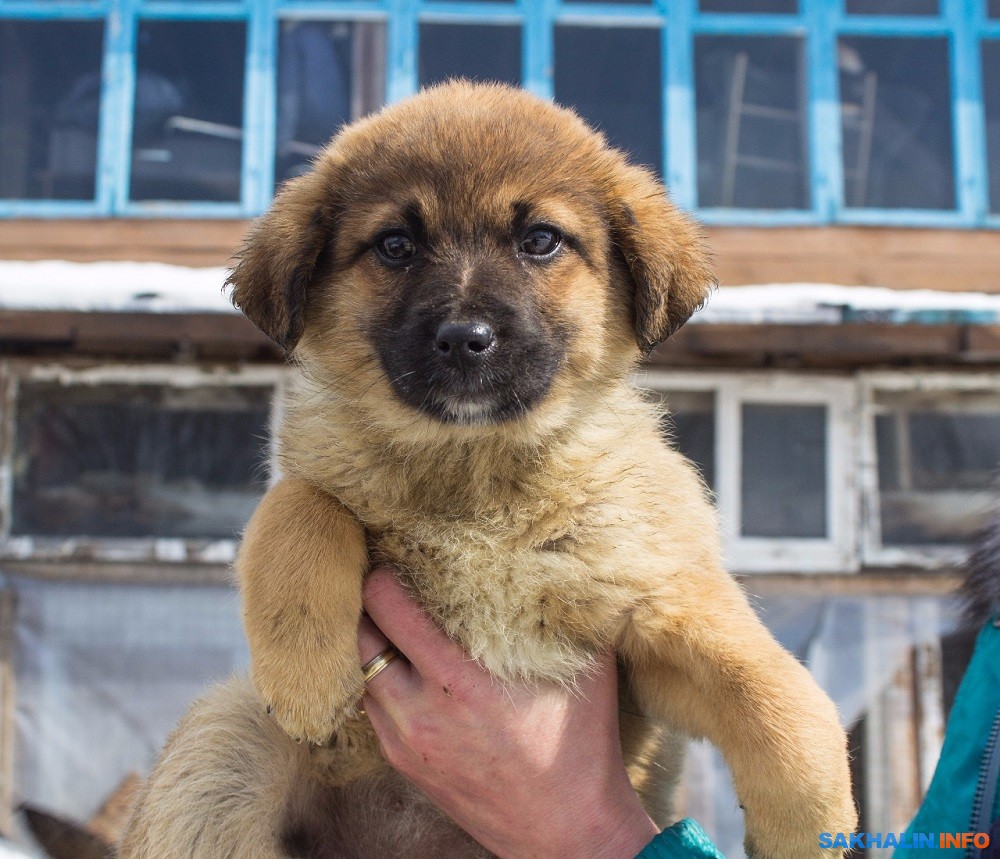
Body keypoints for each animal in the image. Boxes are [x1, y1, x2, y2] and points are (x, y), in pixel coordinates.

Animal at [121, 82, 856, 859]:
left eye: (540, 239)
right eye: (395, 245)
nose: (464, 339)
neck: (477, 473)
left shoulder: (653, 602)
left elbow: (774, 690)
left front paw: (811, 824)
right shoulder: (309, 477)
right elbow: (300, 505)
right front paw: (307, 676)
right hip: (222, 749)